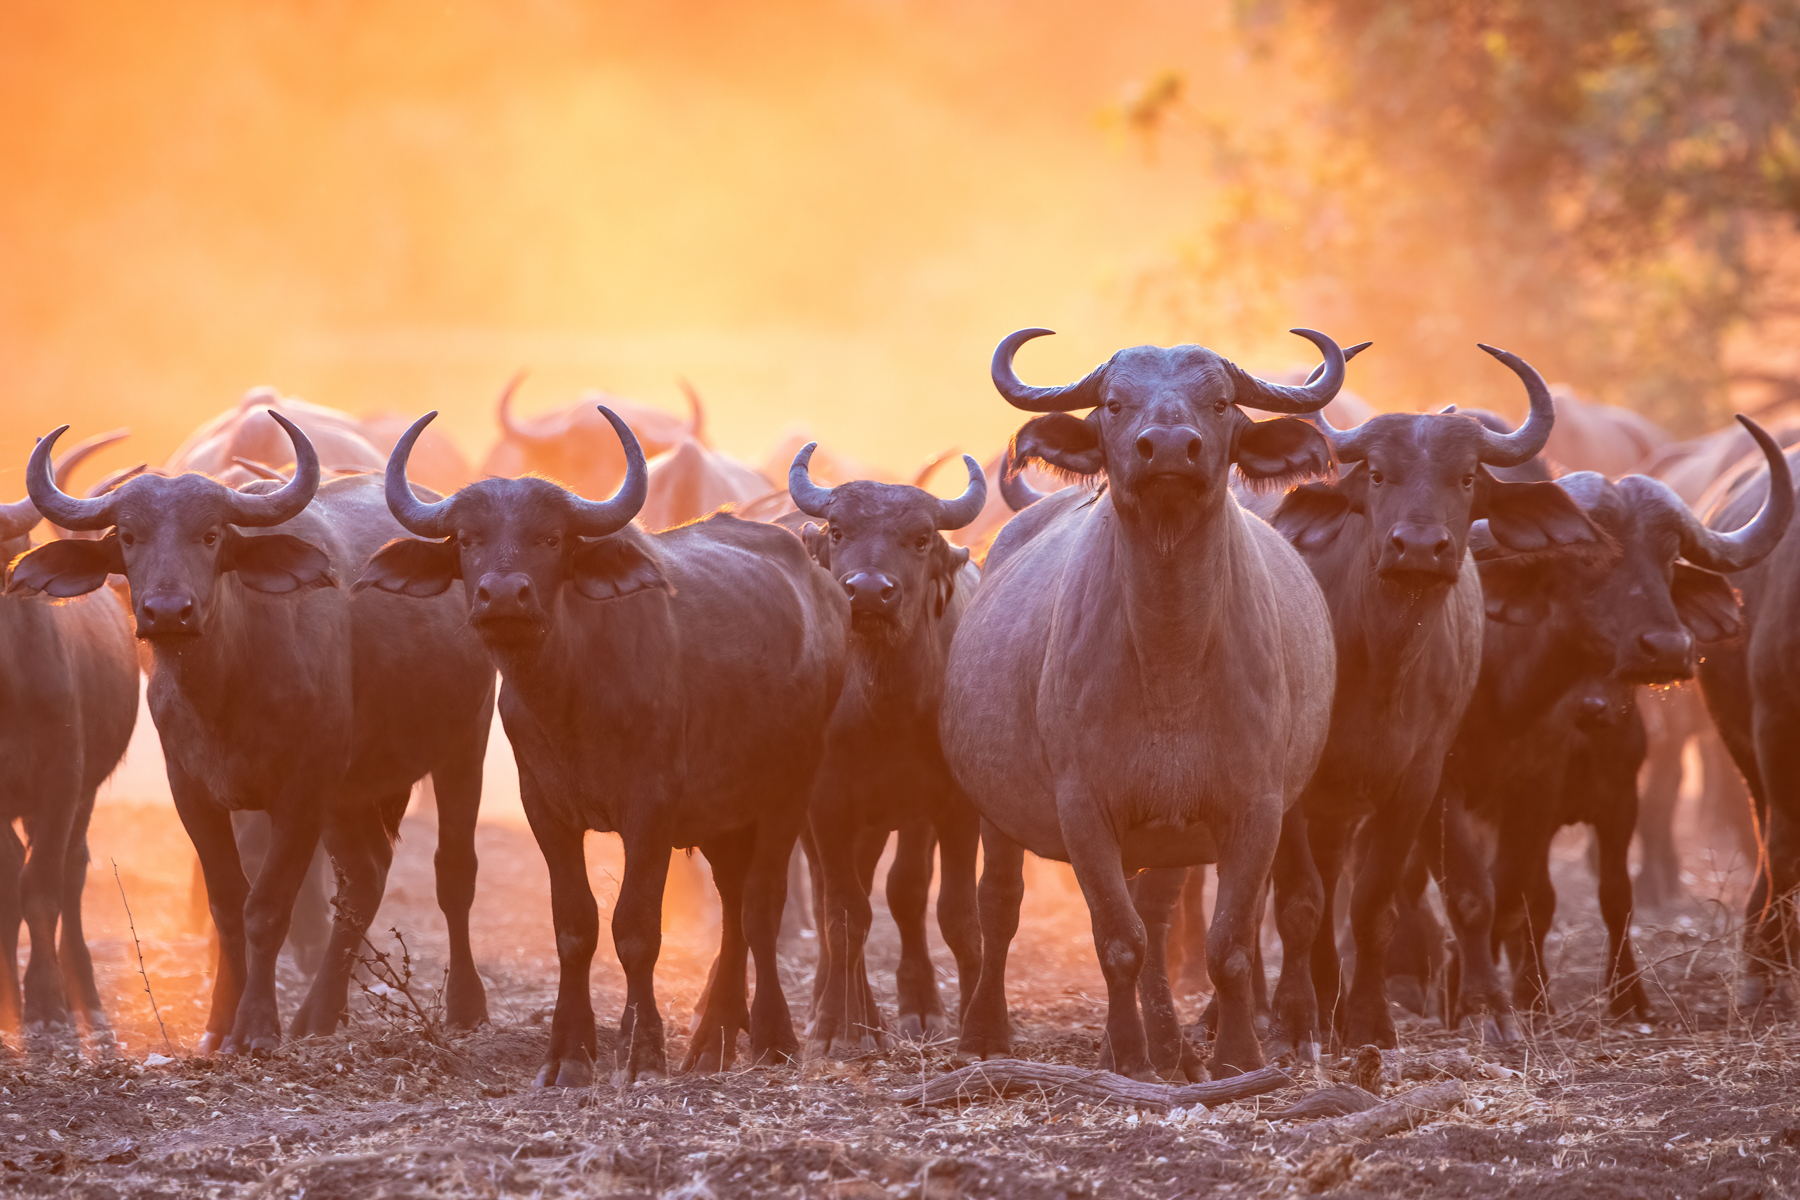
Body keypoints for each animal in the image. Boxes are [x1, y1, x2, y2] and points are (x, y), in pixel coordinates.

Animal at [10, 415, 496, 1053]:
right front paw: (220, 1025)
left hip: (464, 744)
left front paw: (257, 1027)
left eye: (212, 534)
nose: (168, 611)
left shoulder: (301, 791)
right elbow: (226, 902)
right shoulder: (192, 790)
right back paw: (318, 1015)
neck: (225, 689)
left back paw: (465, 1008)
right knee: (366, 875)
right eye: (129, 535)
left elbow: (266, 907)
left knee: (454, 871)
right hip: (351, 793)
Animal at [361, 408, 846, 1085]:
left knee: (760, 905)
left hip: (786, 792)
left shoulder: (652, 810)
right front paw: (569, 1053)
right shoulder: (546, 810)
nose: (503, 596)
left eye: (550, 538)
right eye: (468, 539)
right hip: (723, 813)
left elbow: (636, 928)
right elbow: (575, 925)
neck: (571, 694)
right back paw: (714, 1037)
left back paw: (774, 1039)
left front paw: (641, 1052)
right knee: (731, 905)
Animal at [943, 326, 1345, 1079]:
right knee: (1001, 905)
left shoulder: (1255, 808)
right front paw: (1127, 1055)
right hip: (995, 810)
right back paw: (987, 1030)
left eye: (1219, 402)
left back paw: (1171, 1042)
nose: (1167, 448)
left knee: (1158, 918)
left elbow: (1227, 943)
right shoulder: (1083, 807)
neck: (1170, 661)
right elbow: (1117, 940)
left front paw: (1235, 1054)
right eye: (1113, 402)